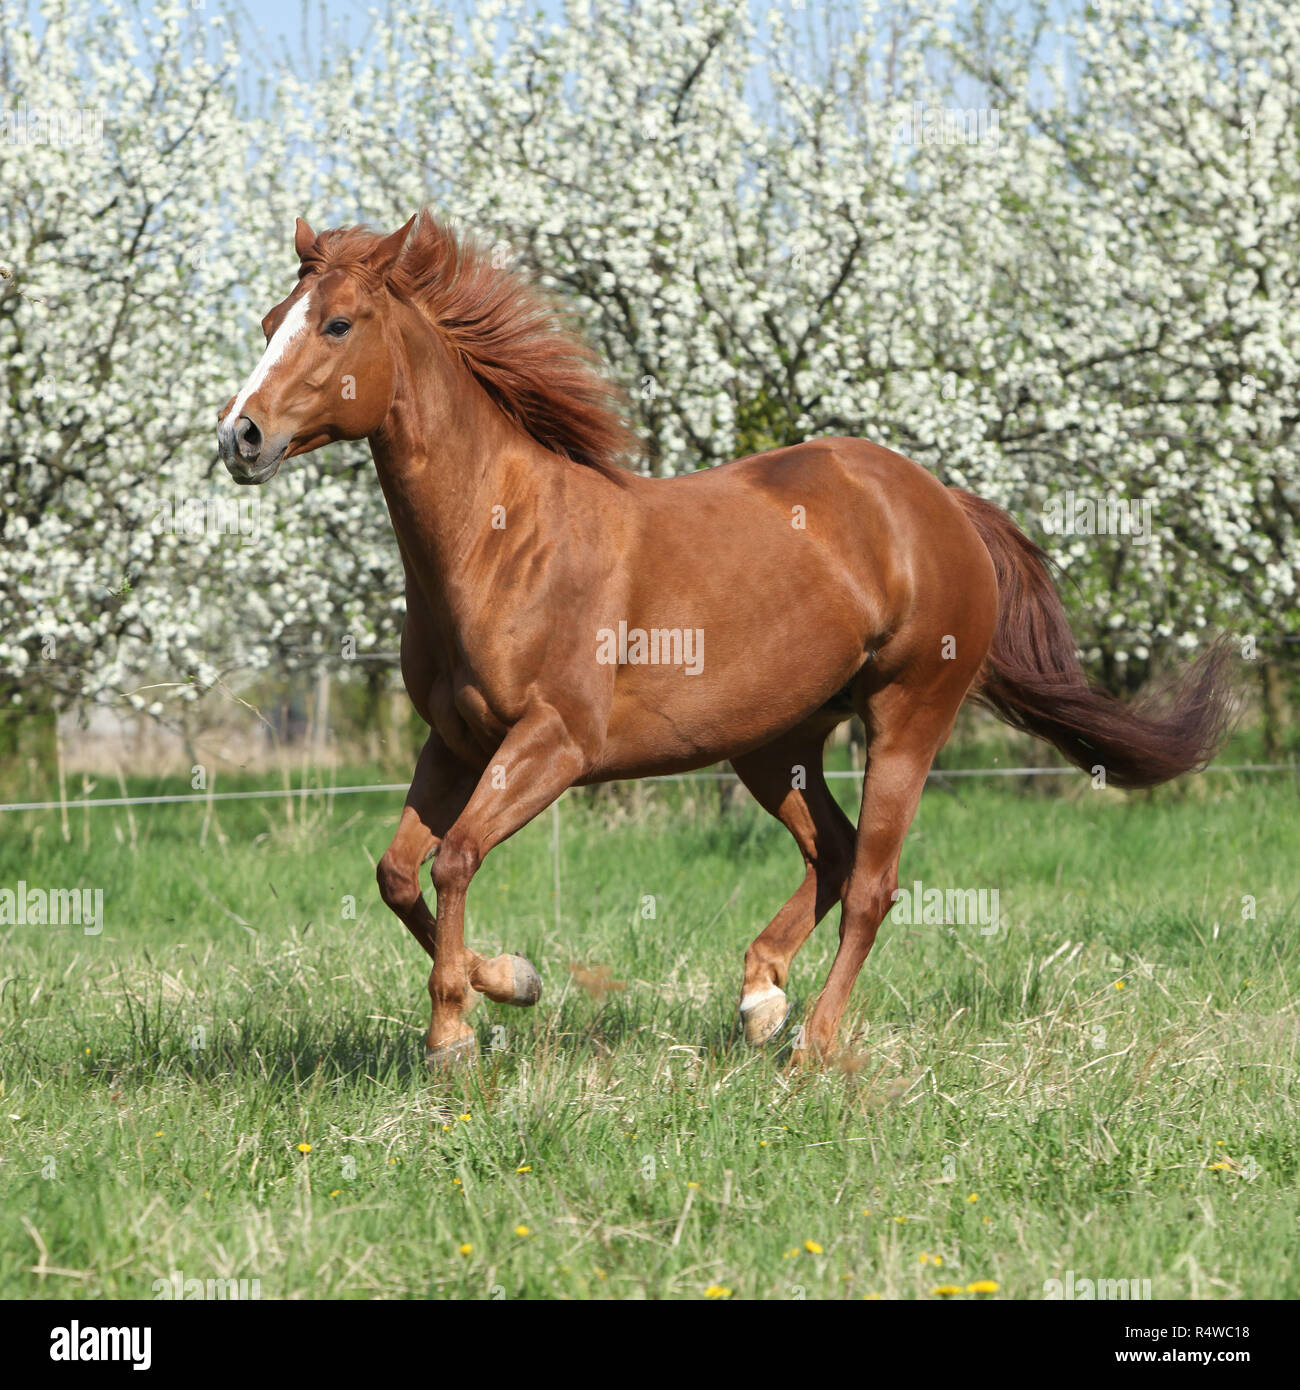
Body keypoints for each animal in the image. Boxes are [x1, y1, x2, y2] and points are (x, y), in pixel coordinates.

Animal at [217, 210, 1233, 1068]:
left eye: (337, 324)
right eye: (271, 319)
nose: (240, 437)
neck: (503, 543)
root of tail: (941, 503)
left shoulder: (554, 743)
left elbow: (456, 858)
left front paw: (457, 1035)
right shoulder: (456, 741)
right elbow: (397, 873)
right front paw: (508, 985)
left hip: (908, 712)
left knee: (874, 881)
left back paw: (811, 1044)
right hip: (774, 741)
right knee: (833, 852)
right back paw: (759, 999)